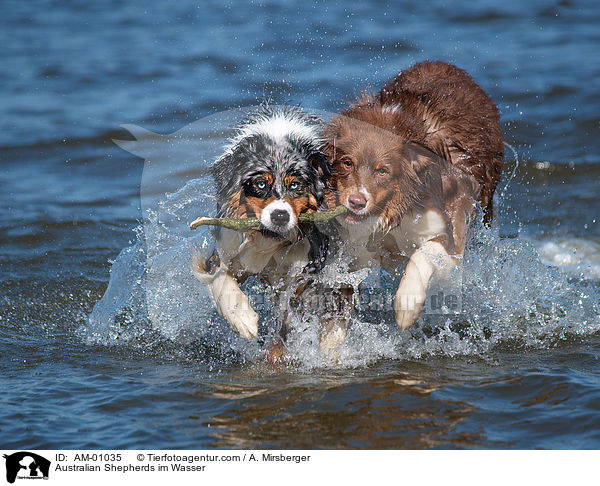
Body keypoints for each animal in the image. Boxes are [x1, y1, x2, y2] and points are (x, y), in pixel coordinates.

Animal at [322, 60, 504, 338]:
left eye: (383, 171)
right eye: (347, 162)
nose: (356, 202)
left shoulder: (450, 231)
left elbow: (424, 254)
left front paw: (407, 305)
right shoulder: (355, 252)